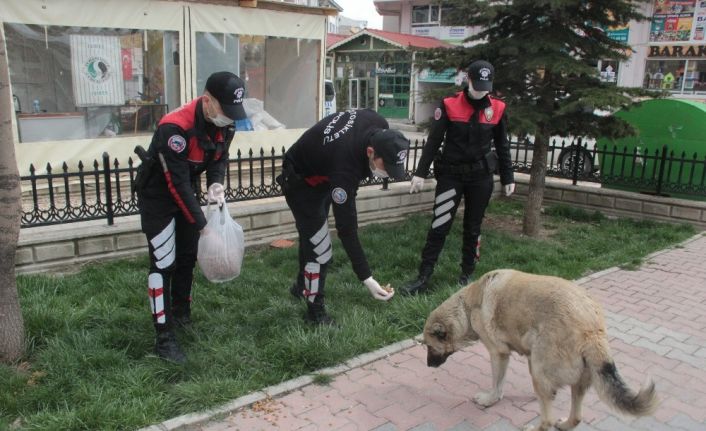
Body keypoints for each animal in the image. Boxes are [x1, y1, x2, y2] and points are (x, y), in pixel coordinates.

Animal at [420, 270, 656, 431]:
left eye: (429, 347)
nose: (428, 365)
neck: (467, 306)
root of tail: (591, 331)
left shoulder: (498, 354)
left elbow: (497, 383)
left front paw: (490, 400)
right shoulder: (528, 356)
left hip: (543, 370)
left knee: (547, 420)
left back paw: (534, 427)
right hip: (576, 380)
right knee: (576, 416)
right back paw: (565, 423)